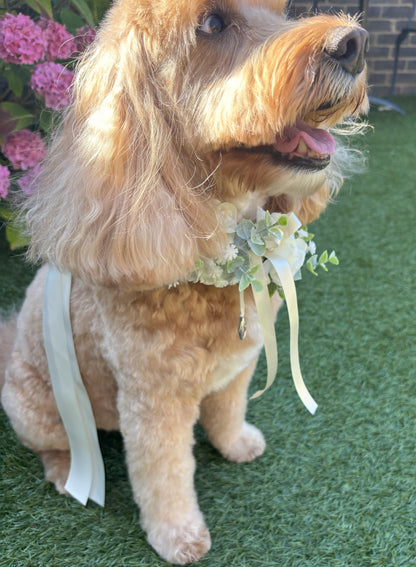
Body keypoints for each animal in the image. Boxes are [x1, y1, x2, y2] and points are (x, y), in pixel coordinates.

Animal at [0, 1, 368, 564]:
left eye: (280, 12)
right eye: (212, 24)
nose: (354, 44)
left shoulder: (241, 364)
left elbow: (228, 409)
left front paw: (236, 443)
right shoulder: (155, 402)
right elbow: (166, 475)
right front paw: (178, 535)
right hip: (39, 406)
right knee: (52, 445)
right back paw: (67, 473)